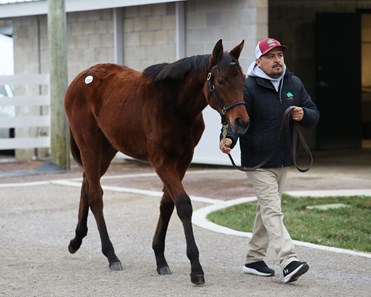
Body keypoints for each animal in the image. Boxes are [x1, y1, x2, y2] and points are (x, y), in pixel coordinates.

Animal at [64, 38, 251, 284]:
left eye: (243, 79)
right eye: (220, 81)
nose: (242, 122)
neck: (174, 105)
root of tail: (81, 78)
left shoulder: (183, 161)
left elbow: (167, 205)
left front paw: (160, 258)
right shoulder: (162, 162)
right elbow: (183, 204)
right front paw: (196, 268)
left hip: (106, 150)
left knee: (86, 184)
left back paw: (76, 240)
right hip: (90, 146)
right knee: (95, 194)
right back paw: (111, 255)